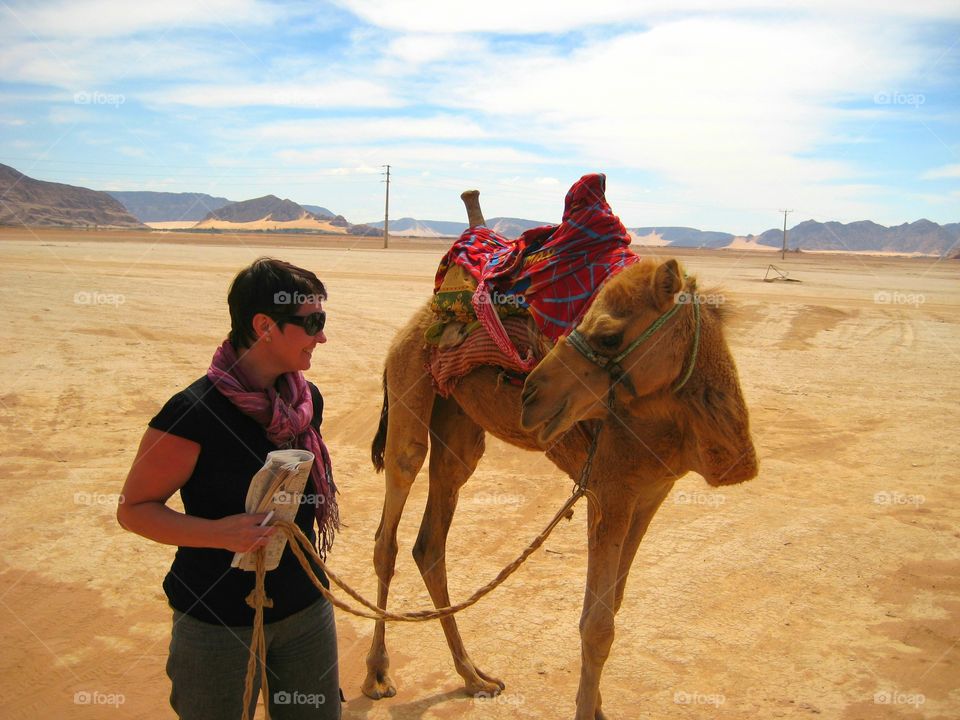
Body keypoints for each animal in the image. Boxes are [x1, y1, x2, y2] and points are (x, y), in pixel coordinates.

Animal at [361, 193, 758, 720]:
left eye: (609, 335)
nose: (531, 395)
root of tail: (418, 319)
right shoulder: (610, 491)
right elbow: (597, 626)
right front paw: (587, 710)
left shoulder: (651, 493)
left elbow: (614, 604)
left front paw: (599, 708)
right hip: (408, 385)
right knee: (390, 524)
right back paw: (377, 674)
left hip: (460, 426)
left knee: (430, 542)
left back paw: (474, 676)